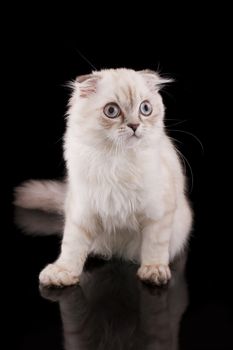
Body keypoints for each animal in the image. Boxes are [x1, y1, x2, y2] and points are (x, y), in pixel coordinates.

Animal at [15, 67, 193, 286]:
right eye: (111, 111)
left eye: (145, 109)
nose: (135, 126)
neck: (118, 160)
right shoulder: (81, 211)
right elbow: (71, 246)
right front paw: (62, 272)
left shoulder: (158, 212)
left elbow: (154, 246)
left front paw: (153, 271)